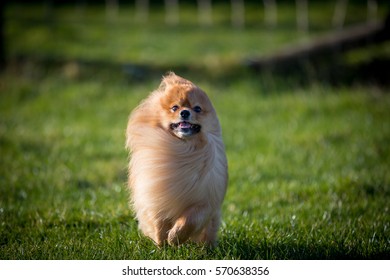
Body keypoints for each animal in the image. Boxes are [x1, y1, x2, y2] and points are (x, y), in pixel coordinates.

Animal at [125, 72, 229, 245]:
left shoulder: (205, 202)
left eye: (197, 108)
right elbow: (159, 225)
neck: (183, 149)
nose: (185, 112)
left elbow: (190, 219)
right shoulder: (156, 197)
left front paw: (175, 237)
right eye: (175, 107)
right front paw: (162, 245)